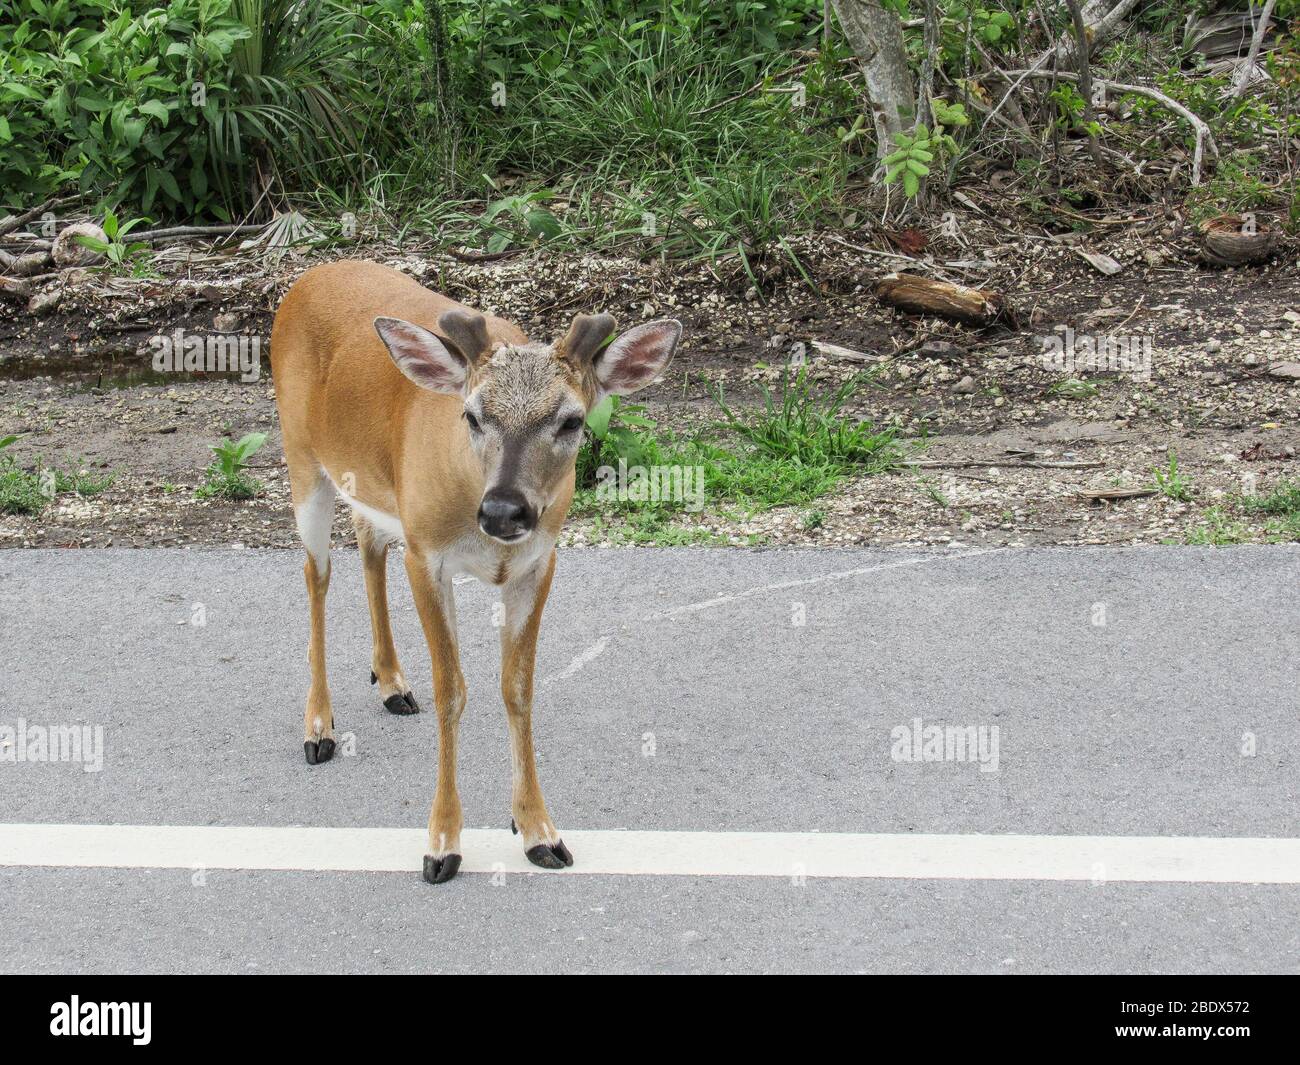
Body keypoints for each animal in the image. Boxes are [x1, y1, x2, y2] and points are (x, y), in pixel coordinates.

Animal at [269, 260, 681, 884]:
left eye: (572, 420)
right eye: (472, 414)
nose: (506, 510)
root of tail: (309, 276)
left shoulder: (539, 561)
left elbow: (518, 689)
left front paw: (538, 831)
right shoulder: (426, 555)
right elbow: (452, 691)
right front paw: (442, 843)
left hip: (368, 482)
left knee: (367, 542)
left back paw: (391, 682)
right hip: (301, 457)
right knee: (316, 571)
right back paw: (319, 727)